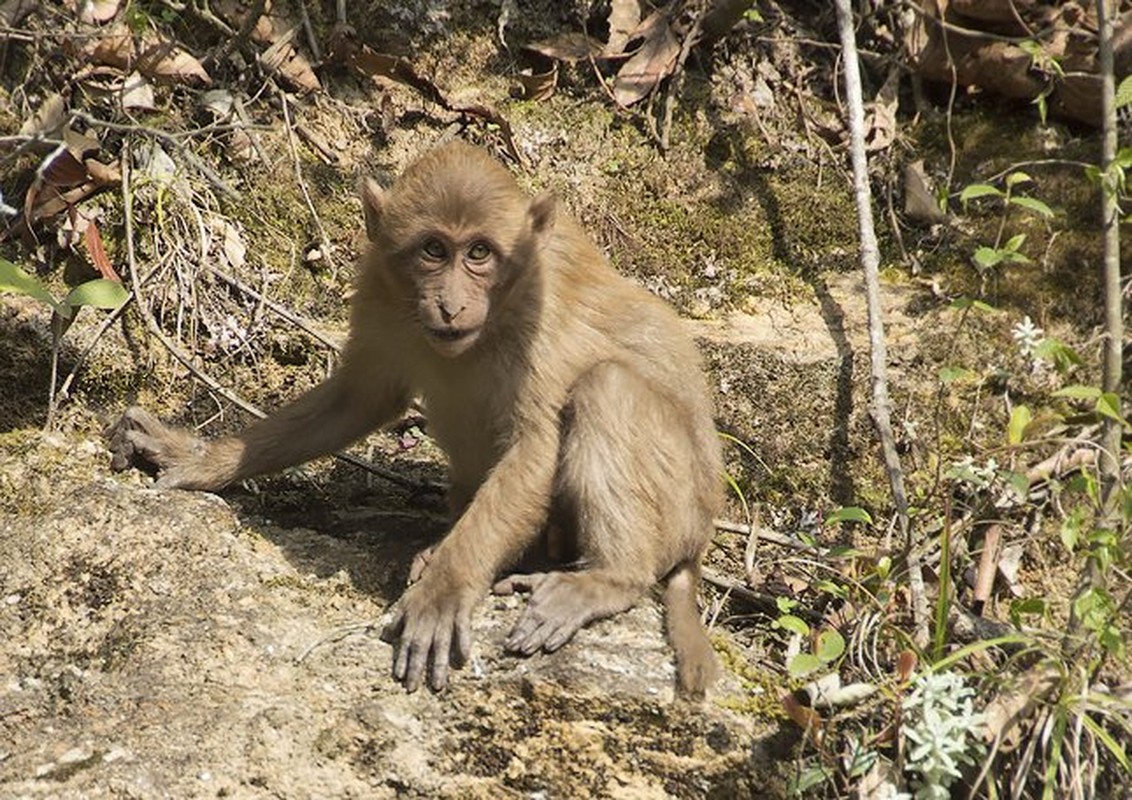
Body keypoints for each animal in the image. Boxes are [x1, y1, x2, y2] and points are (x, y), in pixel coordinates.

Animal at [108, 143, 724, 701]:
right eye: (433, 249)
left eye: (479, 252)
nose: (451, 304)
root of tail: (702, 535)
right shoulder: (378, 285)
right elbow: (358, 398)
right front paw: (197, 457)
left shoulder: (539, 315)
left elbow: (534, 444)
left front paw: (444, 592)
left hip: (680, 504)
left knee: (607, 386)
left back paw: (607, 578)